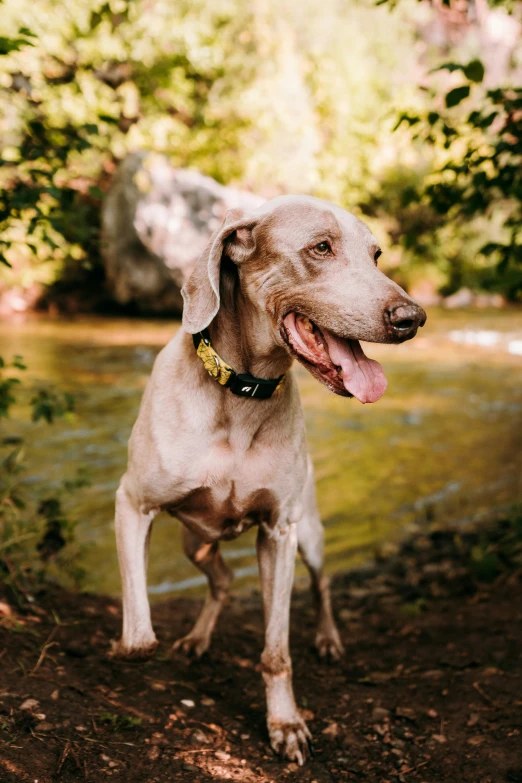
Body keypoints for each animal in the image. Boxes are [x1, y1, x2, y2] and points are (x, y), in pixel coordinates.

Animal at [111, 194, 424, 764]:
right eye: (320, 247)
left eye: (377, 254)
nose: (412, 317)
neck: (241, 395)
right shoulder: (132, 504)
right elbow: (140, 631)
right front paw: (130, 644)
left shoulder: (280, 532)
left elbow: (277, 651)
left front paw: (285, 724)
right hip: (194, 541)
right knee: (221, 580)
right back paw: (197, 639)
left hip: (311, 534)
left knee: (321, 585)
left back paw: (327, 639)